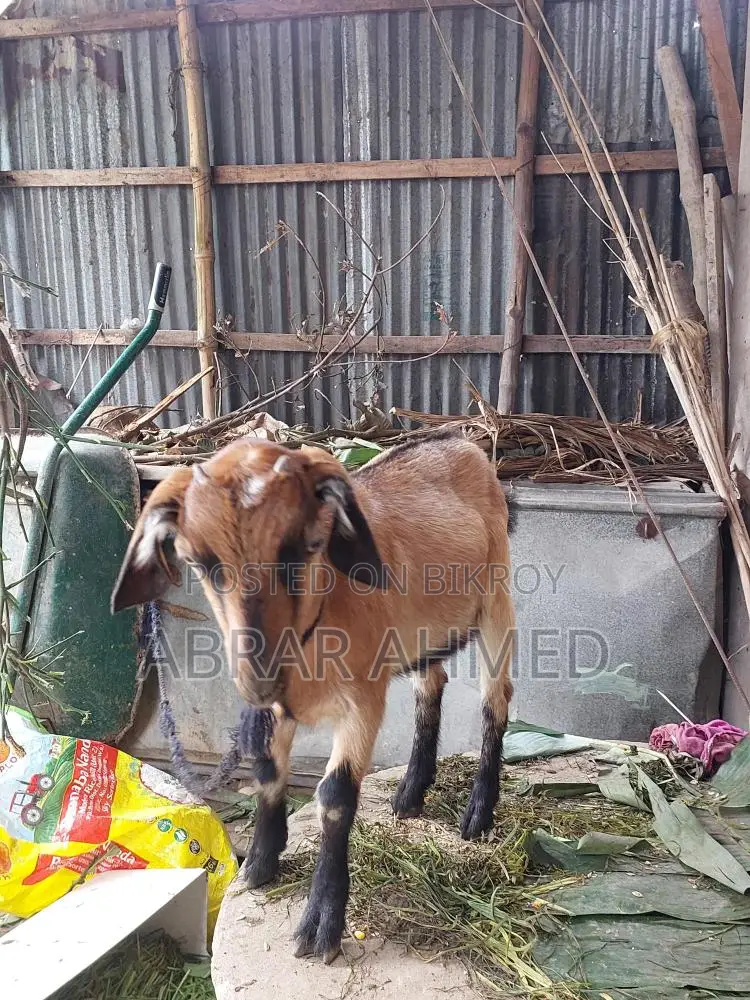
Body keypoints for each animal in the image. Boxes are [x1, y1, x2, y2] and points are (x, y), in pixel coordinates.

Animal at [111, 430, 515, 963]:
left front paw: (321, 923)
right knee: (431, 688)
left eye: (303, 546)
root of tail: (460, 441)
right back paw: (410, 792)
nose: (259, 676)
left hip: (497, 601)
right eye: (200, 561)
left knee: (496, 700)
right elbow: (265, 770)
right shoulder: (271, 709)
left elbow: (336, 795)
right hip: (420, 631)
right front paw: (260, 865)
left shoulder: (363, 703)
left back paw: (478, 812)